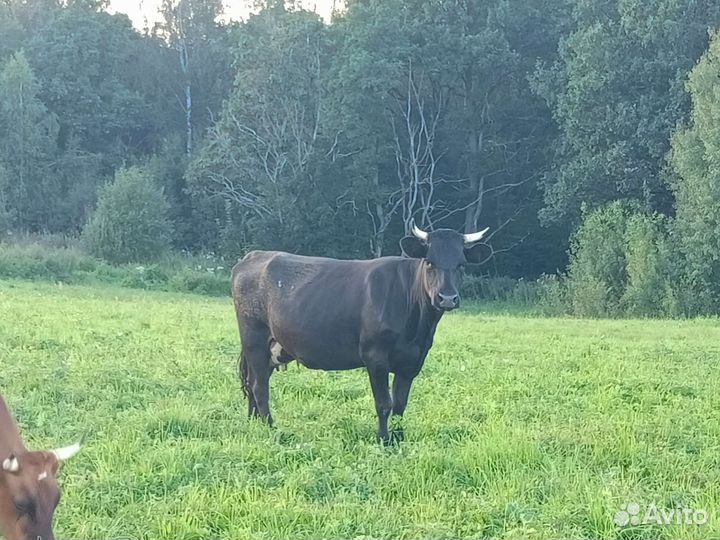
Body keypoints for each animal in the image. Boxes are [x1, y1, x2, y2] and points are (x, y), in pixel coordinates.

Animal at [232, 221, 490, 442]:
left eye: (461, 264)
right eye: (429, 262)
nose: (447, 298)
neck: (417, 325)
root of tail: (254, 255)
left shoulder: (412, 361)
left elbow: (400, 404)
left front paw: (399, 439)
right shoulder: (375, 356)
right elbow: (384, 403)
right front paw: (384, 440)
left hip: (270, 347)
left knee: (253, 382)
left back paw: (254, 423)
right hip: (254, 338)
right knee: (259, 386)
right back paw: (271, 428)